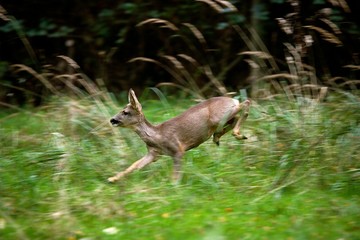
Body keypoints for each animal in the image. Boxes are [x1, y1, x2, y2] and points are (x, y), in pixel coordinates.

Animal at [108, 89, 250, 183]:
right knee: (235, 118)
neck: (157, 136)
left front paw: (174, 189)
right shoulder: (154, 153)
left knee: (246, 103)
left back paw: (237, 135)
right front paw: (112, 178)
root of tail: (232, 99)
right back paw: (219, 137)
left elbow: (176, 175)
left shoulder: (177, 149)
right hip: (222, 120)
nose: (112, 120)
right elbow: (134, 165)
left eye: (125, 112)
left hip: (218, 117)